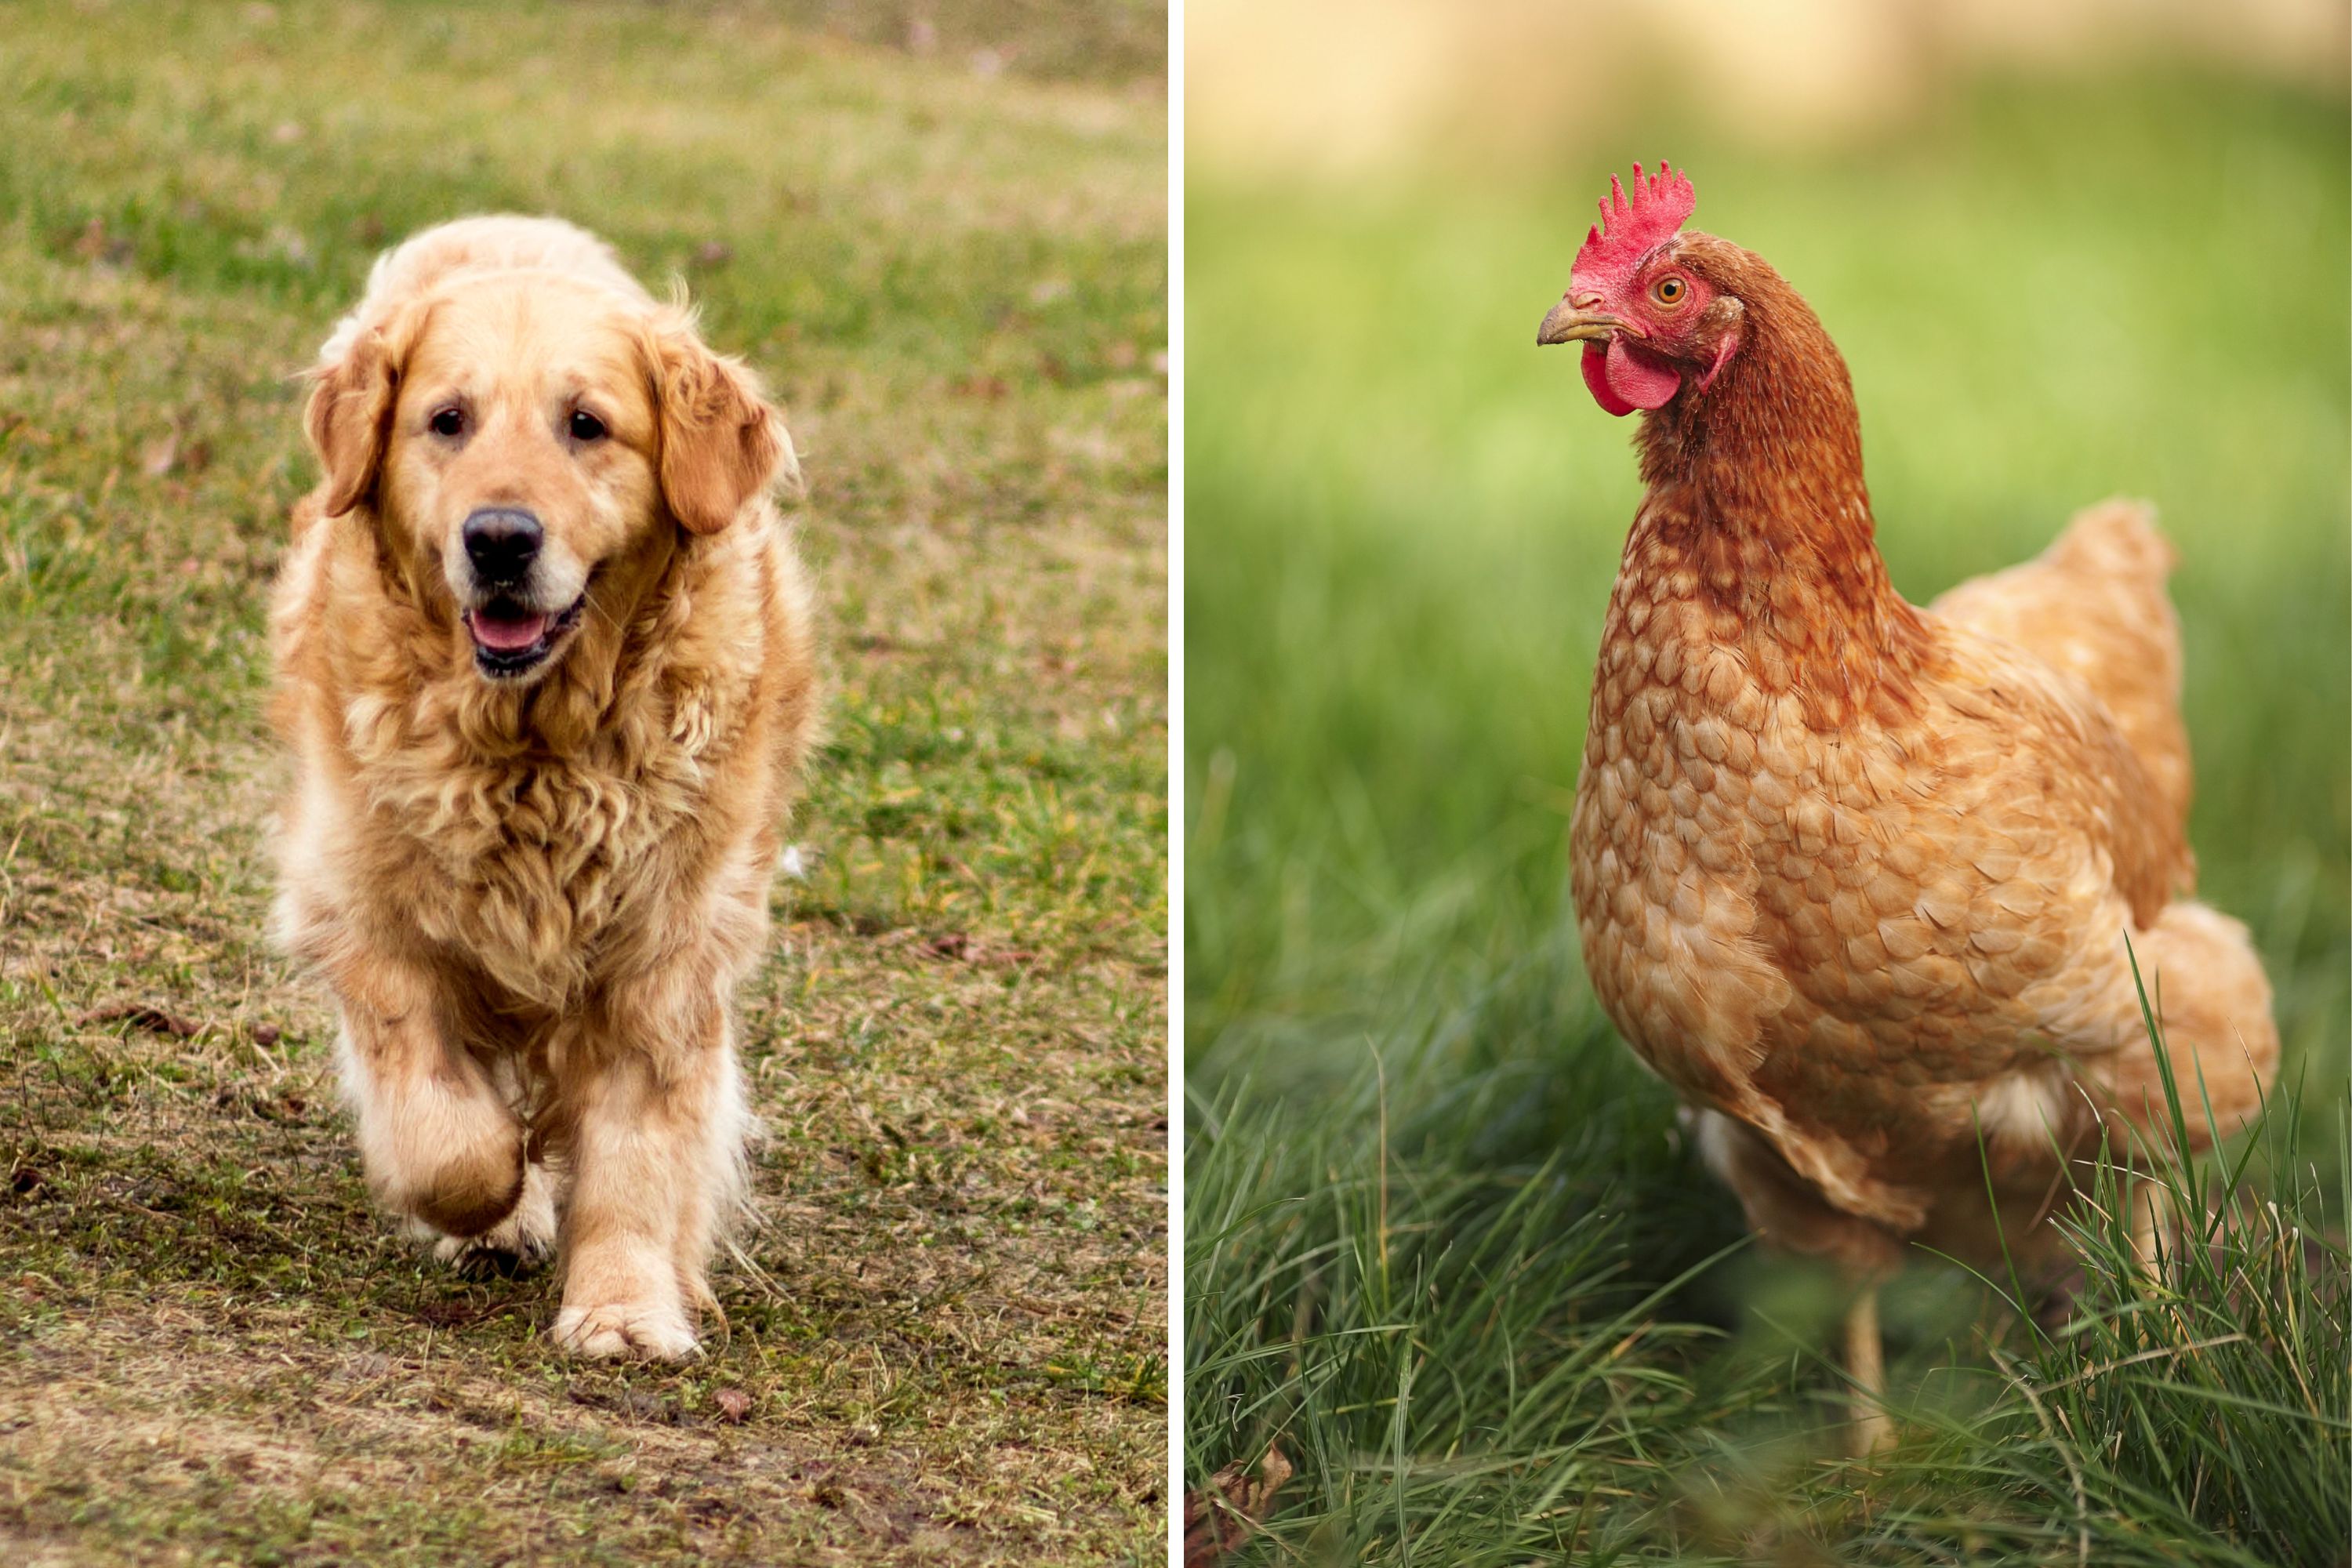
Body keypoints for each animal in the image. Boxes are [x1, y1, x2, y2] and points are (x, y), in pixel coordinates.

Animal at [271, 217, 823, 1363]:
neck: (537, 747)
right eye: (448, 420)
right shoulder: (360, 909)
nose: (498, 539)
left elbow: (639, 1151)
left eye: (587, 425)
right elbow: (447, 1131)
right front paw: (494, 1203)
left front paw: (626, 1305)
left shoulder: (668, 952)